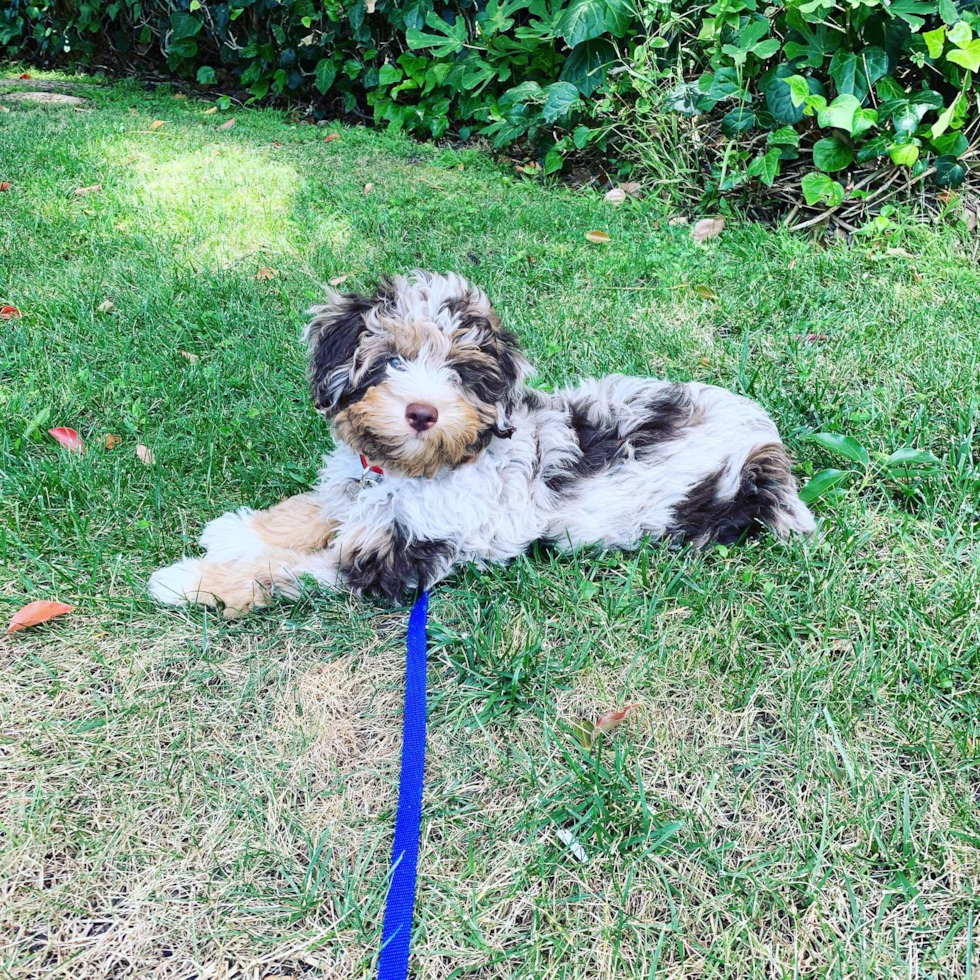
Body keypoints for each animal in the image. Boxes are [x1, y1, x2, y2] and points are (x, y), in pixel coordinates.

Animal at [149, 272, 816, 616]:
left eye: (461, 373)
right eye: (388, 361)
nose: (422, 412)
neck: (406, 472)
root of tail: (767, 446)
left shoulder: (401, 558)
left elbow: (292, 571)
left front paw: (192, 582)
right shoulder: (356, 487)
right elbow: (310, 510)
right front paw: (237, 530)